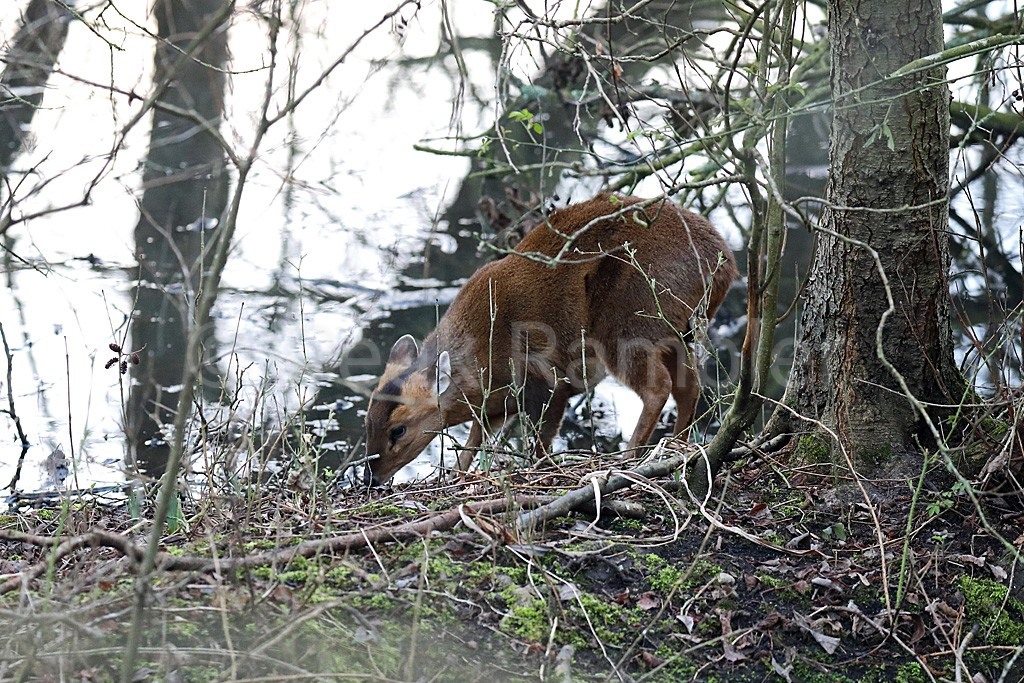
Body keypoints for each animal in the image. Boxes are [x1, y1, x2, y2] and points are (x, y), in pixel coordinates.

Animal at [360, 192, 737, 485]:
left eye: (398, 430)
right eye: (367, 422)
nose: (370, 478)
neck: (483, 357)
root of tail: (724, 265)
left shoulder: (546, 379)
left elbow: (540, 441)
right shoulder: (496, 406)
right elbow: (473, 442)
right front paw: (456, 476)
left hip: (628, 320)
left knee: (658, 387)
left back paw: (628, 457)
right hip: (673, 328)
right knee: (688, 384)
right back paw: (678, 447)